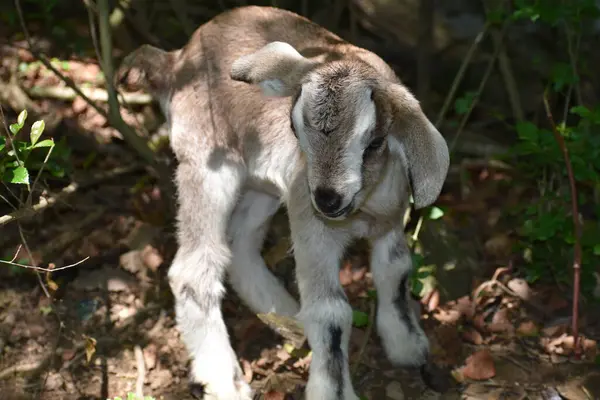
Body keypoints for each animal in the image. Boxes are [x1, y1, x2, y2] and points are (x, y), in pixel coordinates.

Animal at [116, 4, 446, 398]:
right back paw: (225, 380)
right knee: (193, 270)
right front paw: (332, 389)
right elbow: (331, 312)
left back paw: (287, 316)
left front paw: (407, 345)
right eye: (295, 130)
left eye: (375, 142)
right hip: (206, 166)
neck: (364, 208)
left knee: (239, 246)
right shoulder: (313, 230)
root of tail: (176, 61)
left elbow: (395, 271)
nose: (327, 199)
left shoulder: (391, 221)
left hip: (263, 188)